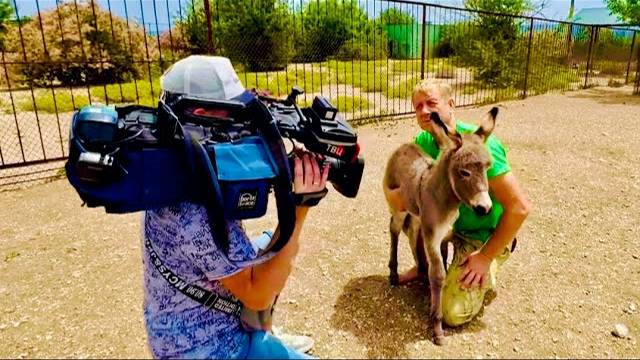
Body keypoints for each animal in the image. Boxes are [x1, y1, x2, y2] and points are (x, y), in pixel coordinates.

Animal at [382, 107, 498, 346]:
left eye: (488, 168)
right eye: (464, 172)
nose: (485, 208)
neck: (443, 199)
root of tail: (402, 147)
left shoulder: (444, 236)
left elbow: (443, 264)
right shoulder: (432, 238)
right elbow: (438, 275)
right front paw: (437, 327)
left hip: (417, 217)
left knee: (412, 234)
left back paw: (418, 272)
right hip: (398, 209)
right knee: (394, 230)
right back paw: (394, 274)